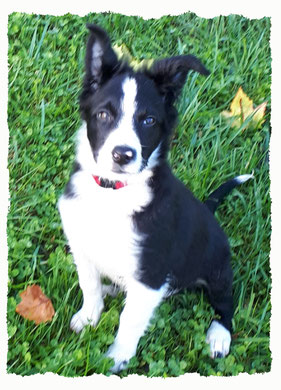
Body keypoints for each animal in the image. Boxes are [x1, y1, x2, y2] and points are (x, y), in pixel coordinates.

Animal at [58, 23, 250, 372]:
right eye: (104, 115)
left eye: (148, 121)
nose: (123, 154)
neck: (114, 192)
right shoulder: (82, 244)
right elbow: (88, 284)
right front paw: (89, 317)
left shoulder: (151, 274)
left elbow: (130, 320)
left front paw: (116, 358)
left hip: (217, 266)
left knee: (226, 302)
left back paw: (219, 335)